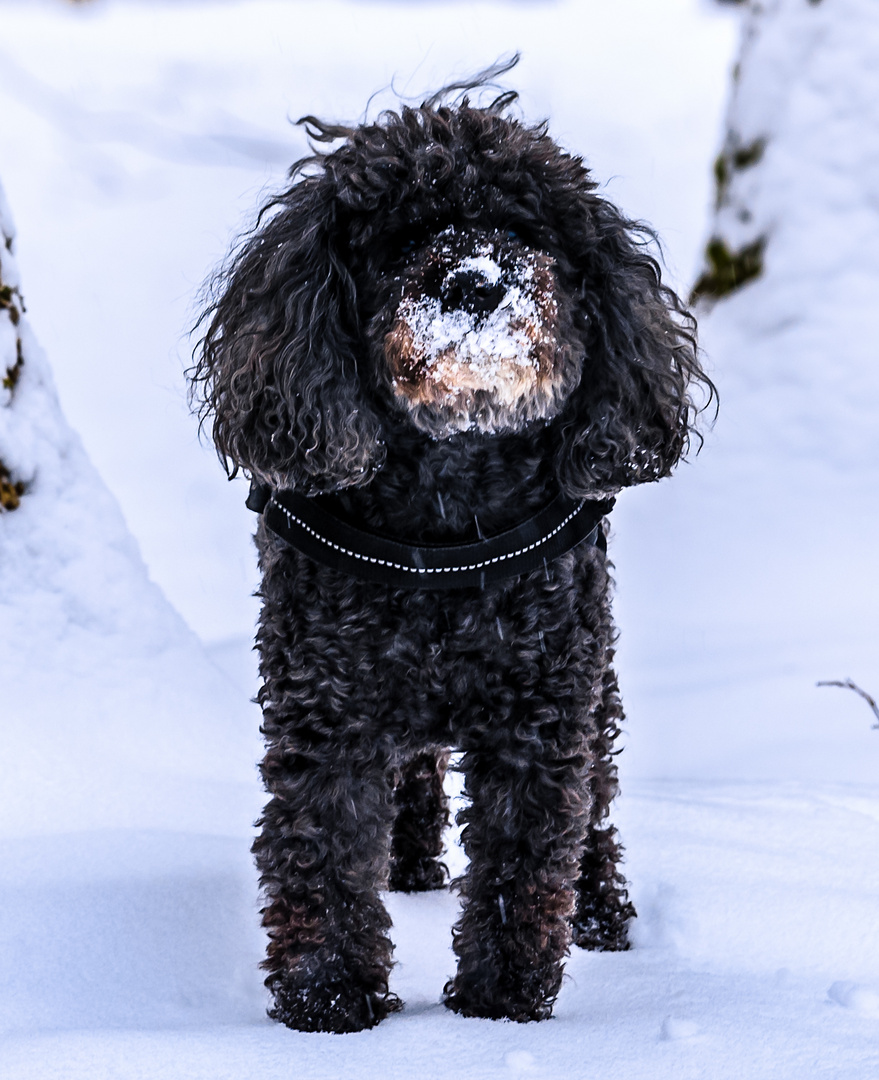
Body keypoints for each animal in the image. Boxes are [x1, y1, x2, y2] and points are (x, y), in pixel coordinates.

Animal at [188, 67, 712, 1028]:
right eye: (404, 234)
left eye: (525, 230)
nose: (473, 282)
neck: (445, 506)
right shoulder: (327, 709)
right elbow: (320, 847)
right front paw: (328, 994)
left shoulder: (540, 715)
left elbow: (524, 855)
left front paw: (502, 996)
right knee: (418, 772)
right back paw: (410, 863)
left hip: (596, 686)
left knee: (596, 804)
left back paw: (600, 909)